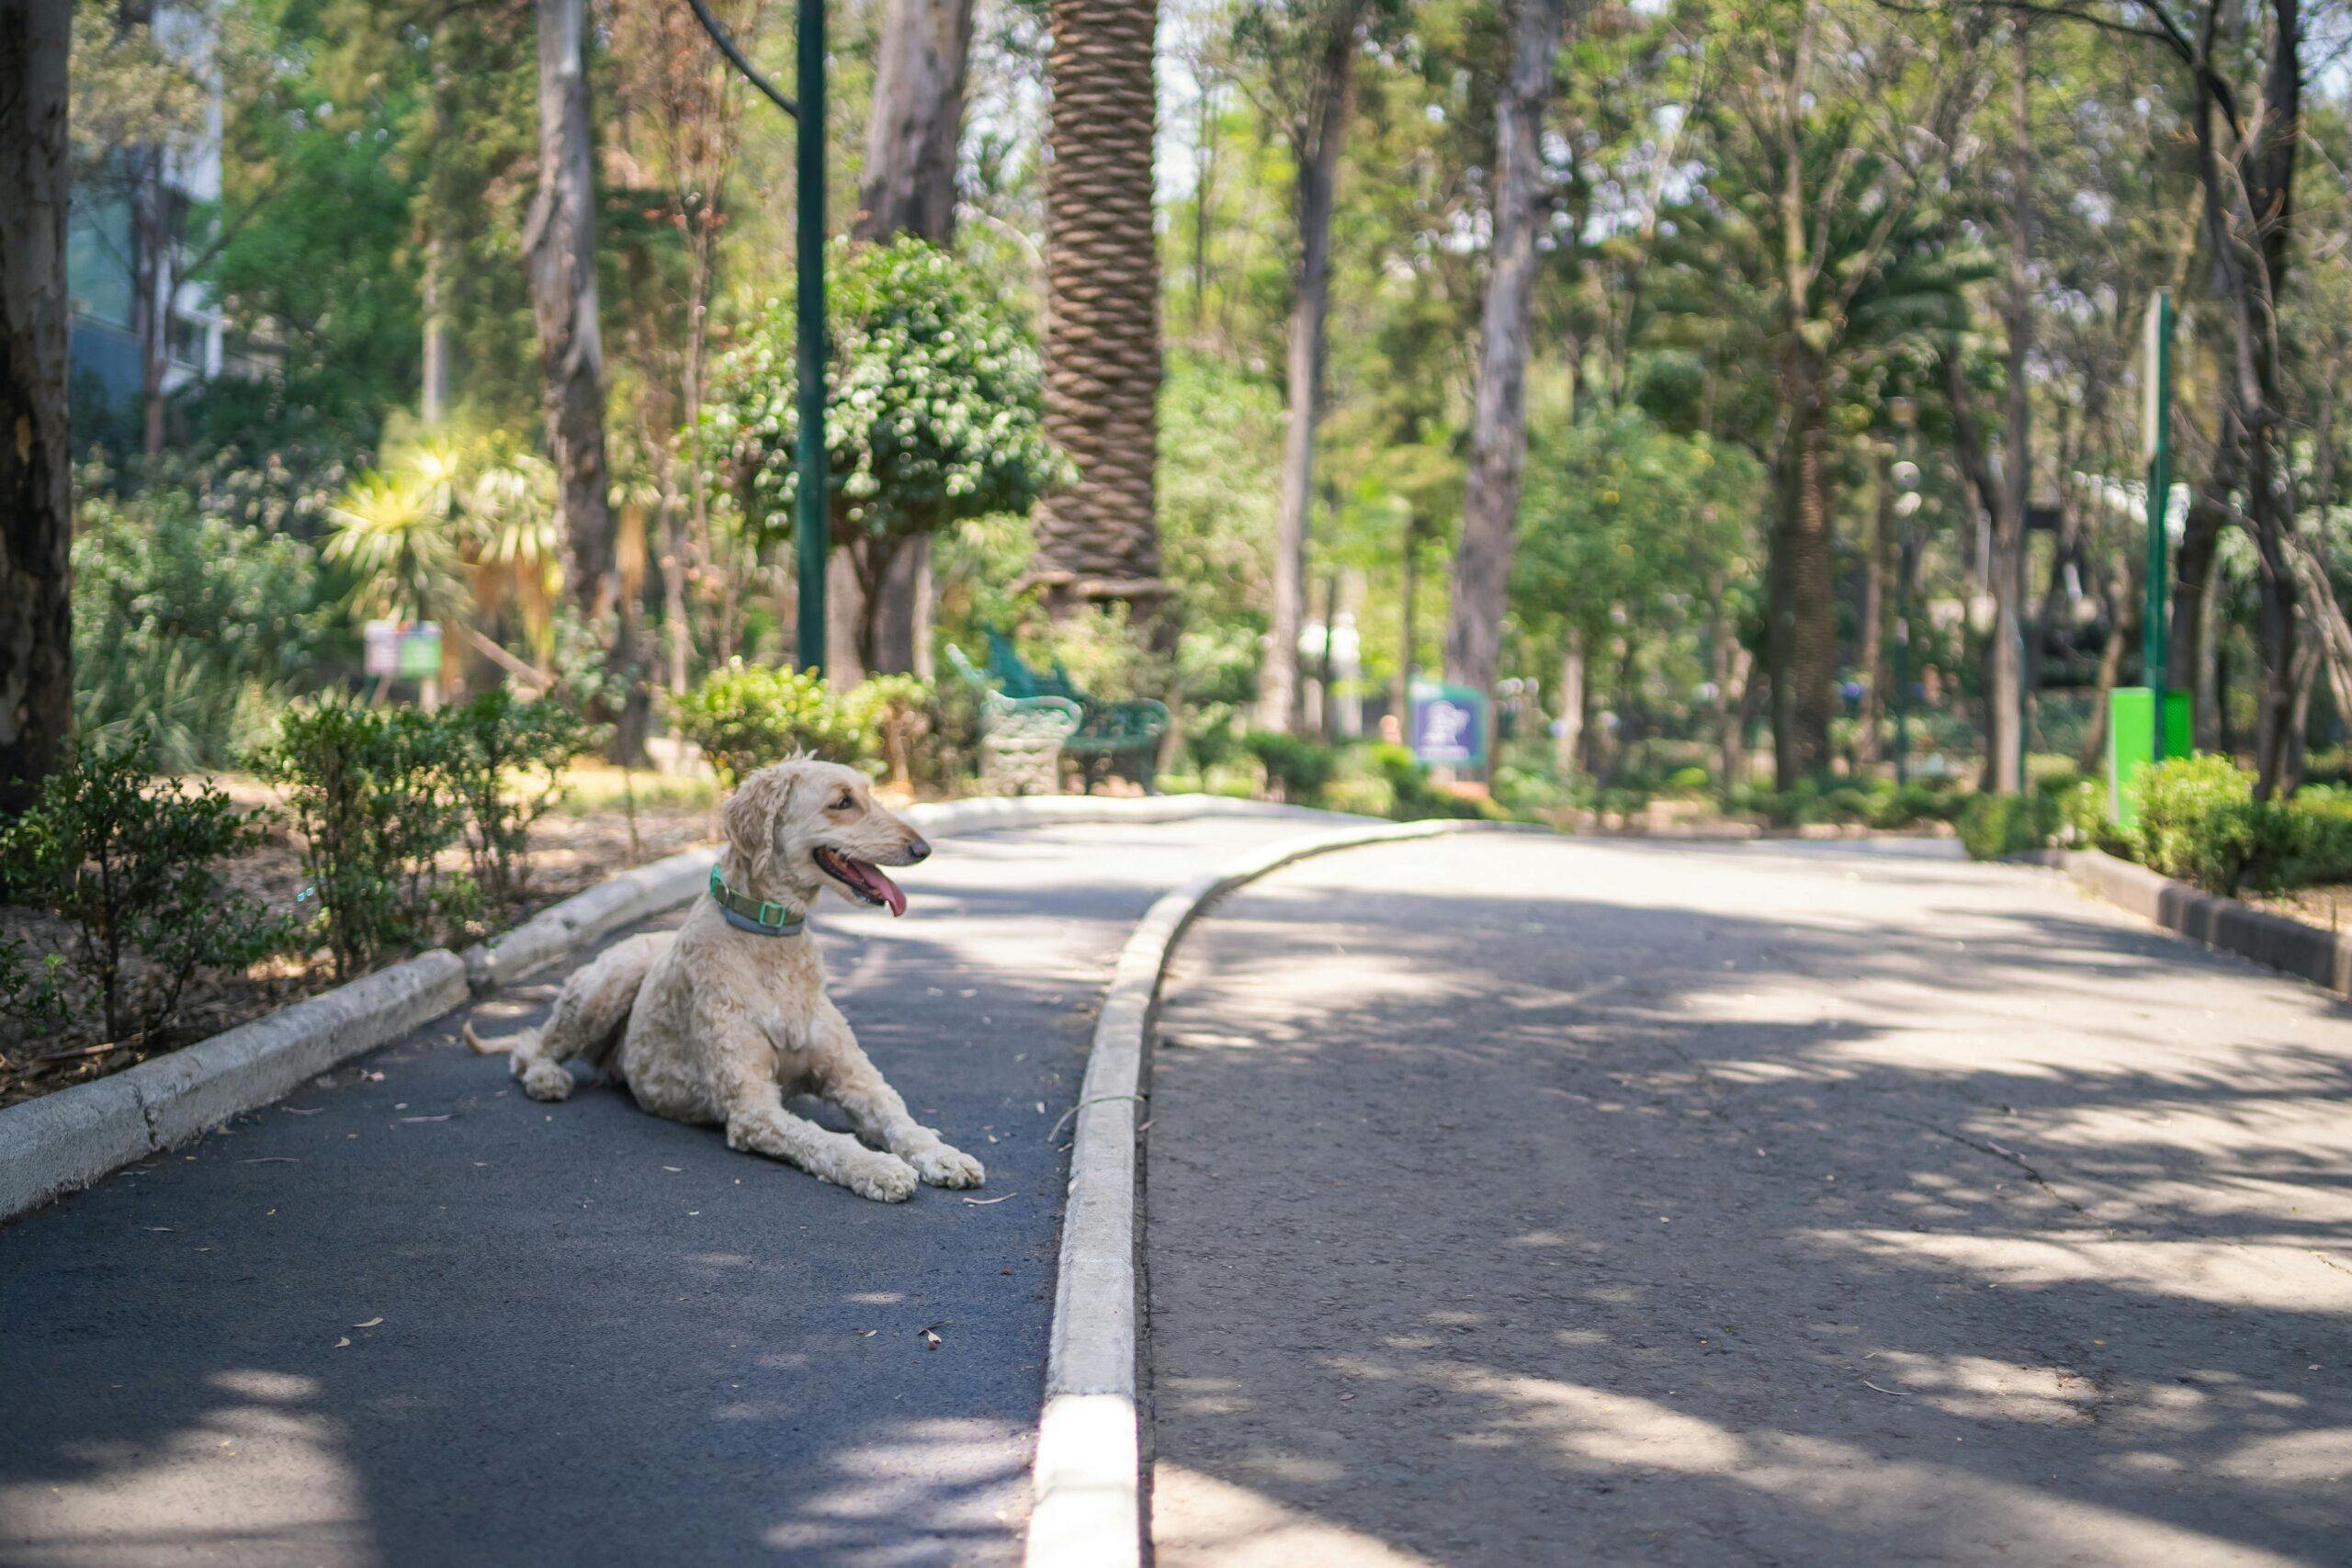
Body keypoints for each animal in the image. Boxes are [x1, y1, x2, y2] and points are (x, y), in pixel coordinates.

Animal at [468, 761, 983, 1203]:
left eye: (870, 794)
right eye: (842, 802)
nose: (922, 849)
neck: (771, 942)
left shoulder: (857, 1079)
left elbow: (903, 1120)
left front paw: (945, 1155)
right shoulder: (754, 1108)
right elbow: (824, 1139)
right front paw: (879, 1169)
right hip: (606, 984)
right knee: (528, 1046)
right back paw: (545, 1077)